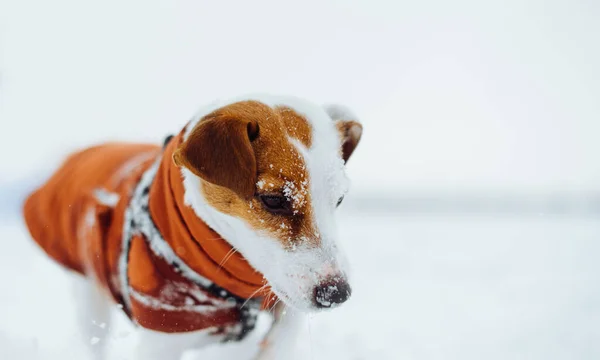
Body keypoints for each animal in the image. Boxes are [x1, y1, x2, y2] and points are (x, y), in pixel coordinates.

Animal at [22, 94, 360, 358]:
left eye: (340, 199)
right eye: (273, 200)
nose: (336, 293)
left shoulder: (282, 306)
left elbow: (282, 334)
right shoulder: (161, 339)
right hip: (89, 292)